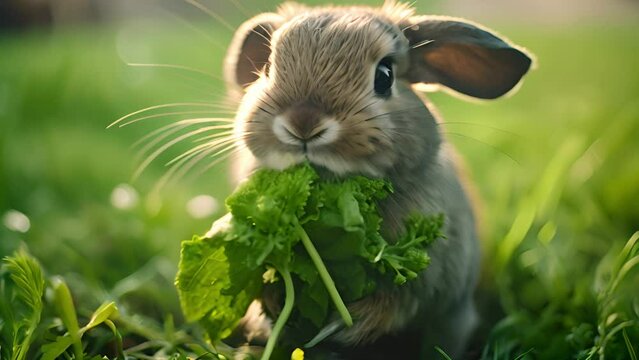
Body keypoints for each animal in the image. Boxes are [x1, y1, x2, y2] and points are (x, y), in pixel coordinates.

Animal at [222, 1, 532, 358]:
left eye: (385, 76)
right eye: (268, 67)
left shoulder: (432, 281)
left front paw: (342, 325)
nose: (303, 123)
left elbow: (396, 303)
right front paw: (272, 312)